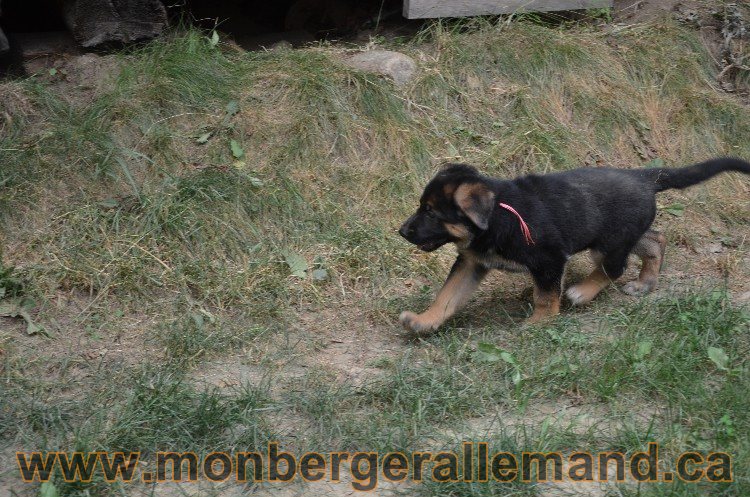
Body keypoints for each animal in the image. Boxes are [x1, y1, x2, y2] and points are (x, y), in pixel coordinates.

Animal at [400, 157, 750, 332]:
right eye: (421, 206)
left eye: (431, 212)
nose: (402, 231)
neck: (497, 214)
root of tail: (643, 177)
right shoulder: (472, 262)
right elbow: (448, 295)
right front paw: (425, 321)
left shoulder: (550, 260)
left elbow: (545, 296)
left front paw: (540, 323)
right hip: (620, 235)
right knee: (655, 240)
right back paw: (645, 283)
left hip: (608, 243)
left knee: (614, 268)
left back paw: (582, 291)